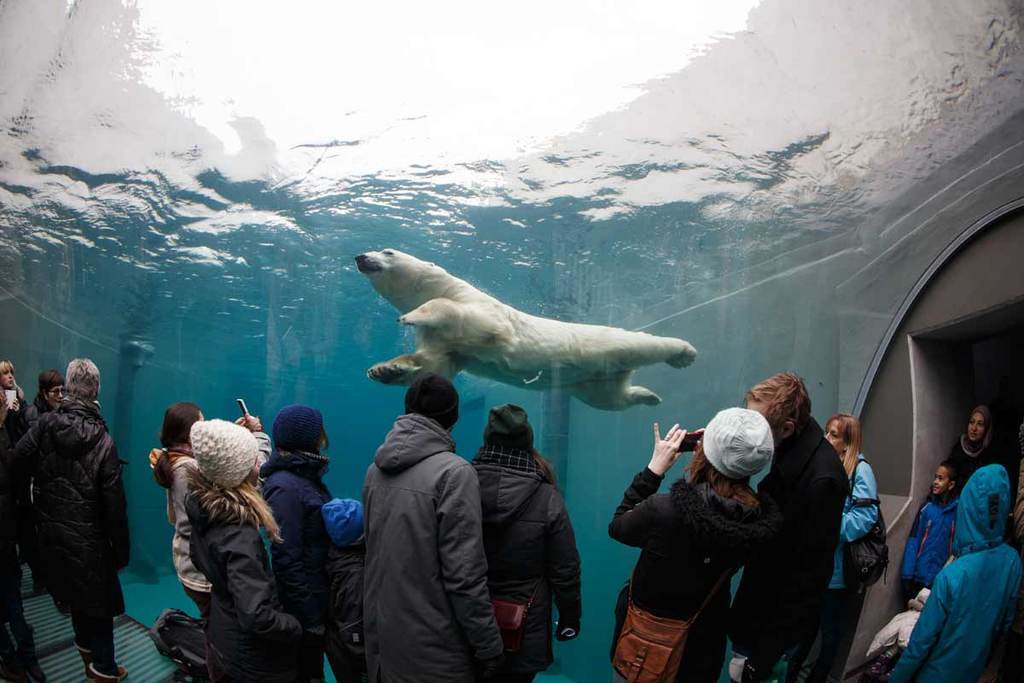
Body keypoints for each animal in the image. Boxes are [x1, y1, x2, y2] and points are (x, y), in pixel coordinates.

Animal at [354, 249, 697, 410]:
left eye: (388, 251)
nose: (360, 256)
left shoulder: (483, 311)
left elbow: (452, 312)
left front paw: (410, 317)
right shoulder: (447, 344)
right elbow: (435, 365)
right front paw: (384, 370)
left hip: (599, 343)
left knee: (639, 345)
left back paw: (683, 352)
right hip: (589, 379)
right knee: (610, 398)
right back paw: (649, 396)